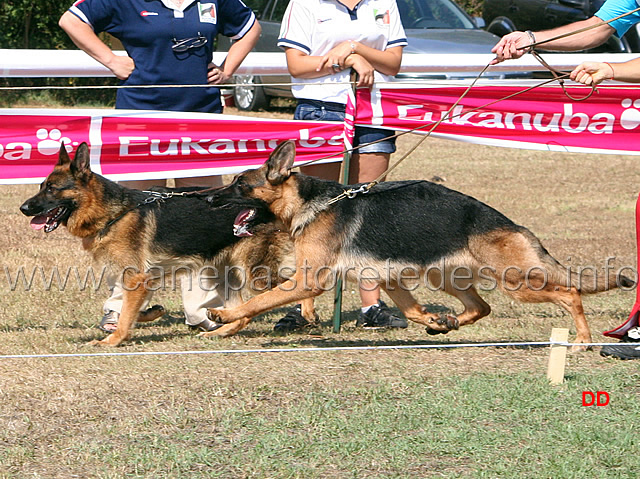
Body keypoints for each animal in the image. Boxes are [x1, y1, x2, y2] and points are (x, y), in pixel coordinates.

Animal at [19, 142, 300, 344]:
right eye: (41, 186)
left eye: (52, 189)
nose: (24, 208)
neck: (113, 212)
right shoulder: (141, 280)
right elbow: (130, 309)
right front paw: (150, 313)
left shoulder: (136, 277)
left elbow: (126, 316)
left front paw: (113, 341)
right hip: (225, 273)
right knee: (243, 314)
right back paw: (217, 330)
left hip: (255, 274)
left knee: (292, 287)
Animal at [205, 141, 636, 346]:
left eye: (240, 185)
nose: (206, 199)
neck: (310, 203)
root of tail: (508, 222)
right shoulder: (389, 279)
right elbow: (412, 311)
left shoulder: (311, 280)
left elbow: (258, 300)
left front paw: (223, 317)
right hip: (445, 278)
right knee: (481, 307)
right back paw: (446, 323)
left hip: (517, 282)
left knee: (569, 293)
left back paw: (581, 342)